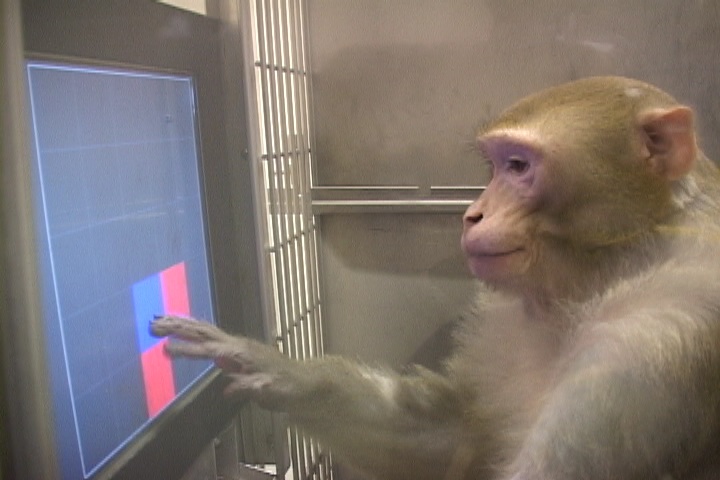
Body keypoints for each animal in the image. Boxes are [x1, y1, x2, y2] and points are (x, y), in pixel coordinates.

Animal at [151, 76, 720, 480]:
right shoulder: (502, 317)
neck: (607, 270)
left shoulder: (648, 345)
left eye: (518, 166)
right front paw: (271, 367)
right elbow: (450, 435)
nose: (472, 214)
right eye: (493, 167)